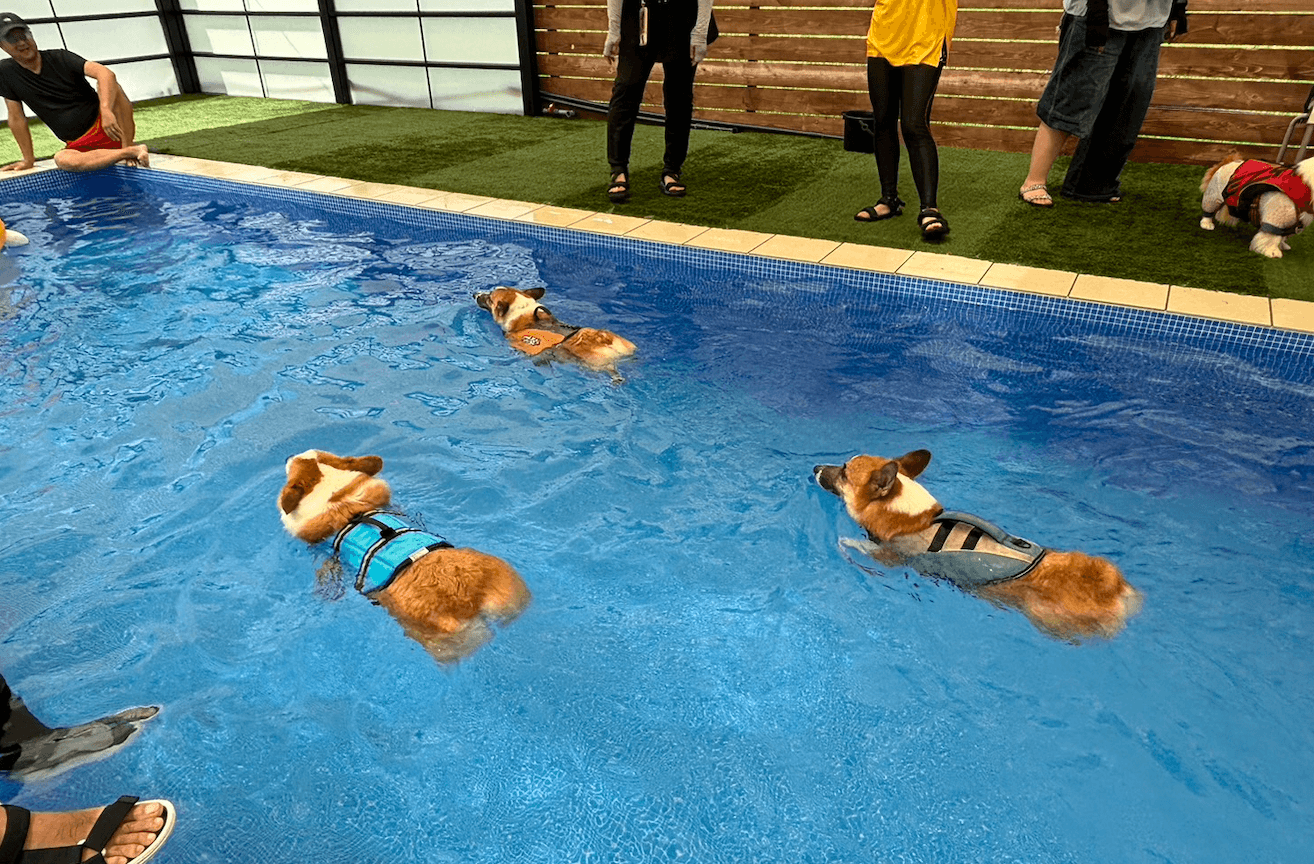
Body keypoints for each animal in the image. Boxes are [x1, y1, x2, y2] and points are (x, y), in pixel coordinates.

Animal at [813, 450, 1142, 641]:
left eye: (844, 471)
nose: (815, 466)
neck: (911, 515)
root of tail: (1114, 588)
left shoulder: (890, 555)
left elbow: (855, 545)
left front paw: (843, 544)